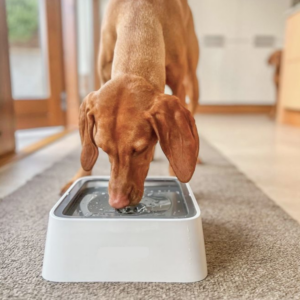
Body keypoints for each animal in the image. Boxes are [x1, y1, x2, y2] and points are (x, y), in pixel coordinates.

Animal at [61, 0, 200, 209]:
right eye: (103, 149)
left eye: (140, 149)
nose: (117, 202)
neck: (138, 16)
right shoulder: (102, 77)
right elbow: (87, 147)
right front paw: (80, 176)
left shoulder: (178, 85)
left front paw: (177, 176)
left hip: (192, 78)